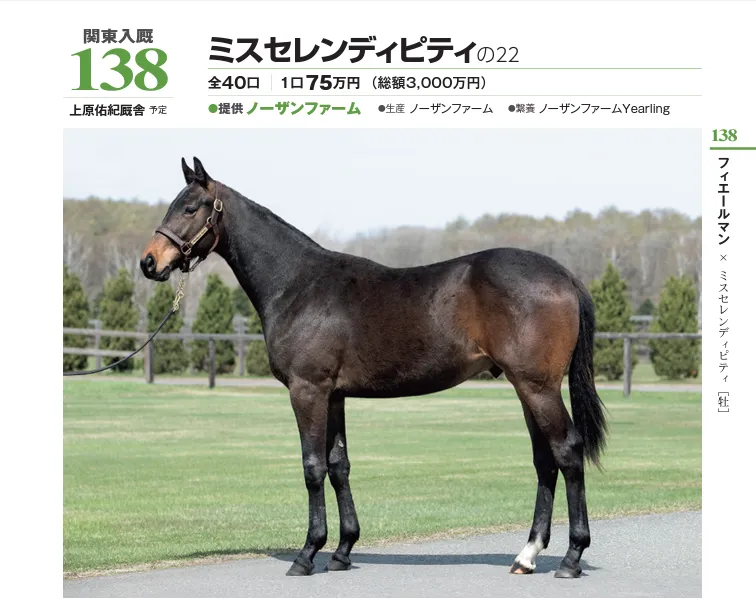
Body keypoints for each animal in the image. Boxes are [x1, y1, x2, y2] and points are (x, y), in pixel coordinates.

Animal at [140, 157, 607, 579]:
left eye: (190, 207)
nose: (149, 262)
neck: (298, 285)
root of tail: (564, 275)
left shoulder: (307, 390)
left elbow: (312, 467)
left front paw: (307, 554)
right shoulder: (334, 395)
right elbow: (338, 465)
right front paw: (342, 551)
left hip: (538, 387)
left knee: (568, 452)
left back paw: (571, 558)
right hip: (526, 387)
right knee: (545, 461)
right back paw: (526, 555)